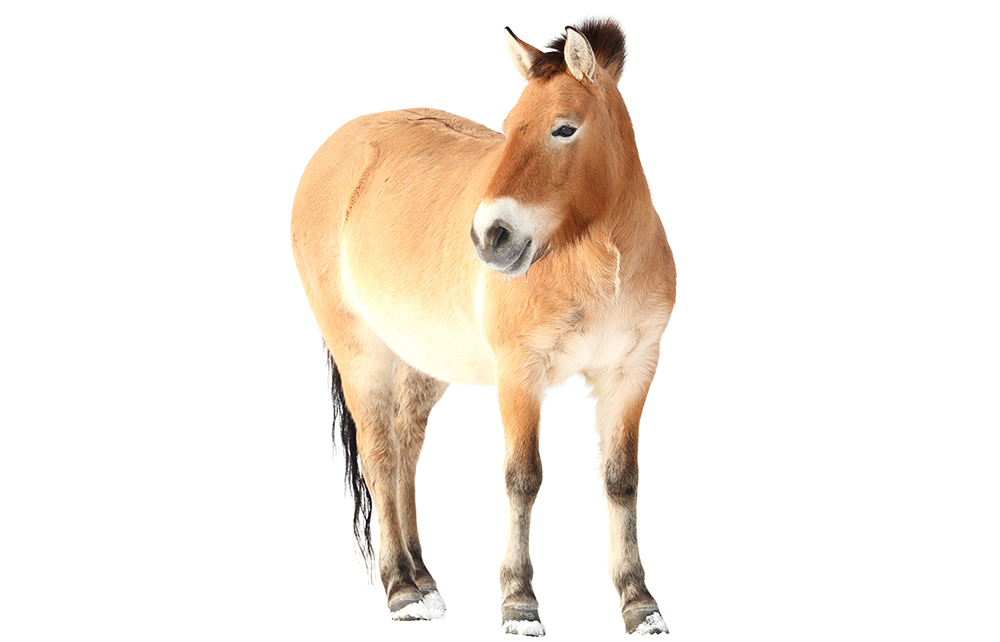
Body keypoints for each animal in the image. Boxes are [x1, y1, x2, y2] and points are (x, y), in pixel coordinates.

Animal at [291, 18, 675, 636]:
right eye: (508, 126)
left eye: (564, 128)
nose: (491, 236)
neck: (598, 261)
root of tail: (335, 147)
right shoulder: (519, 373)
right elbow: (523, 477)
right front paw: (520, 603)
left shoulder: (632, 372)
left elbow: (623, 479)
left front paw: (640, 604)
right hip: (360, 351)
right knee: (378, 452)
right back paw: (402, 589)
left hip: (422, 364)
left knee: (405, 447)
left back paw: (424, 577)